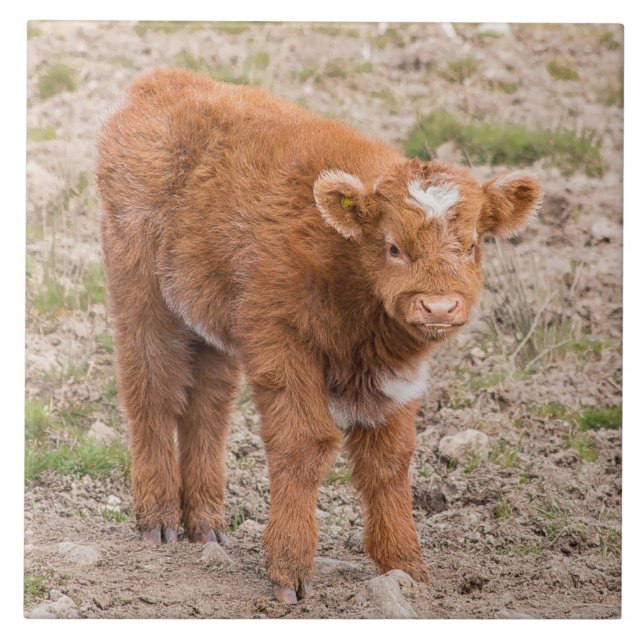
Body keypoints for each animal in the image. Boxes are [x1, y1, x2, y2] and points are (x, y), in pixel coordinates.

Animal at [96, 68, 541, 604]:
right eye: (393, 247)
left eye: (473, 244)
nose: (438, 306)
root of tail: (163, 81)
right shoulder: (282, 347)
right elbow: (303, 445)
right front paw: (288, 571)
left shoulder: (397, 378)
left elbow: (388, 461)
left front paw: (406, 566)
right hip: (143, 300)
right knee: (153, 393)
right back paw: (158, 519)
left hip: (212, 328)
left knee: (207, 409)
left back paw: (205, 524)